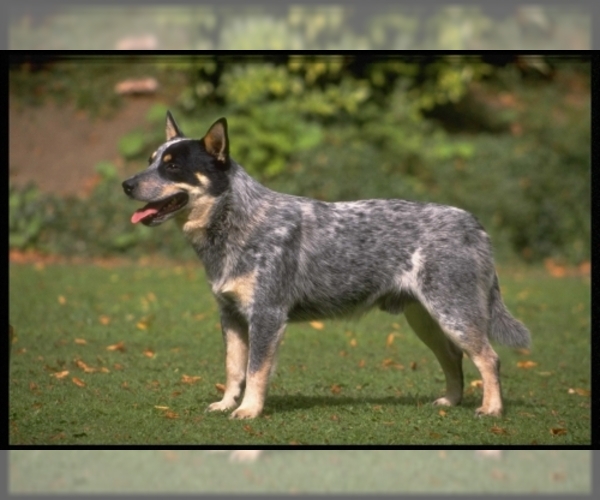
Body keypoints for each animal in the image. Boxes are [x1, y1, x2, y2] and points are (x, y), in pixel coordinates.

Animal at [122, 111, 528, 420]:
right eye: (151, 161)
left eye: (174, 167)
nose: (126, 184)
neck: (240, 222)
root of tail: (474, 225)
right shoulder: (231, 316)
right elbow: (233, 368)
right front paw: (225, 404)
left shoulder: (267, 316)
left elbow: (255, 370)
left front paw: (249, 411)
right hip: (426, 320)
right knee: (454, 357)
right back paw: (450, 401)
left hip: (453, 314)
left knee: (489, 359)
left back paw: (491, 410)